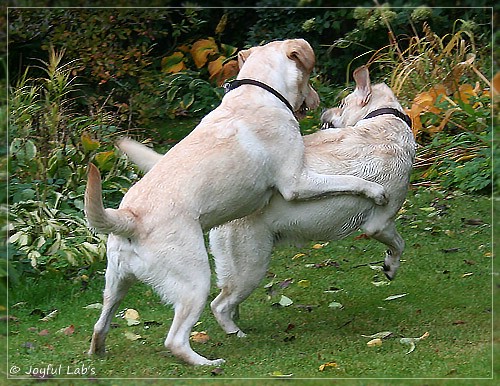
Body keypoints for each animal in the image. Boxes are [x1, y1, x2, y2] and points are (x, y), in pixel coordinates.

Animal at [84, 40, 386, 366]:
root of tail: (129, 216)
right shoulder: (297, 182)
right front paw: (376, 191)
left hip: (116, 283)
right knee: (175, 340)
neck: (260, 91)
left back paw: (99, 352)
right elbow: (349, 181)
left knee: (100, 324)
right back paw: (207, 363)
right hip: (196, 282)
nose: (320, 103)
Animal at [119, 66, 416, 340]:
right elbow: (399, 245)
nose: (323, 114)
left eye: (341, 105)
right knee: (219, 304)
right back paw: (236, 334)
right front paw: (390, 267)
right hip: (252, 266)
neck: (386, 121)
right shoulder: (380, 224)